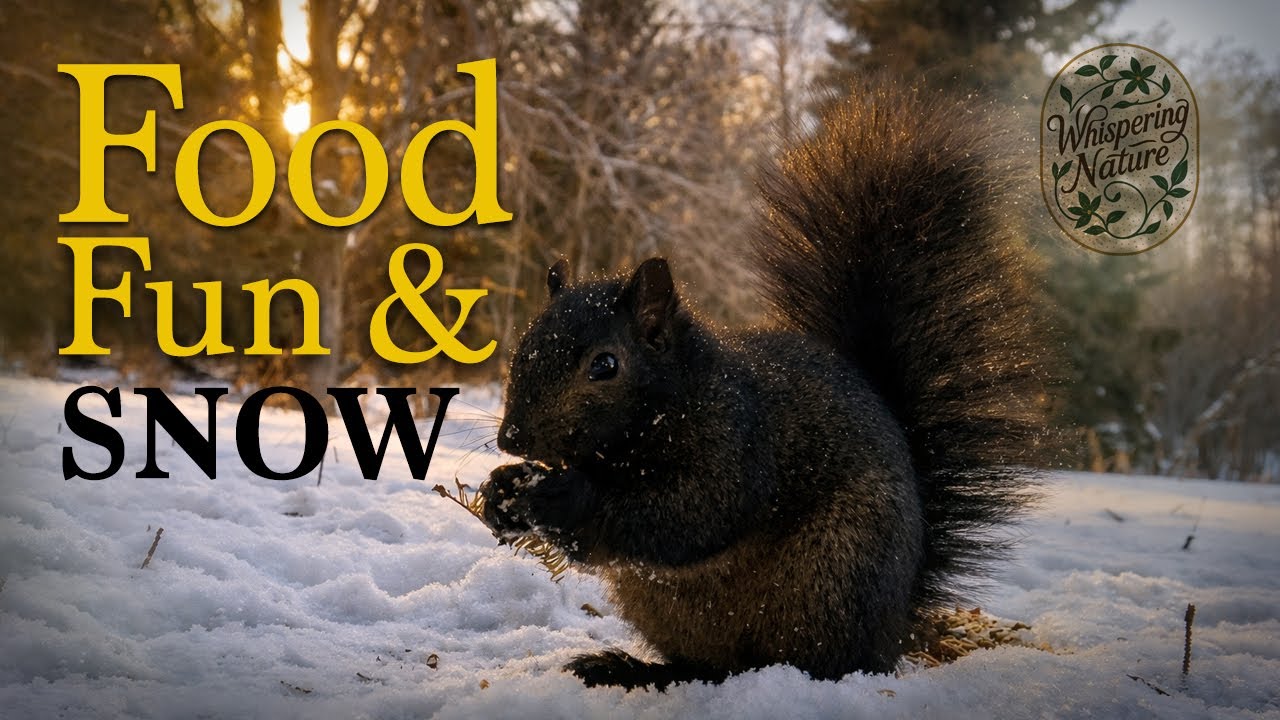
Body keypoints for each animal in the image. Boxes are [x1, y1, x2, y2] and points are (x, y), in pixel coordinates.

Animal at [478, 82, 1053, 689]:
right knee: (707, 665)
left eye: (605, 365)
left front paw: (561, 496)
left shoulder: (737, 438)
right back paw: (630, 668)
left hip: (832, 578)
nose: (512, 438)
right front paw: (501, 492)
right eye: (525, 340)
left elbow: (696, 511)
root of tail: (894, 628)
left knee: (801, 662)